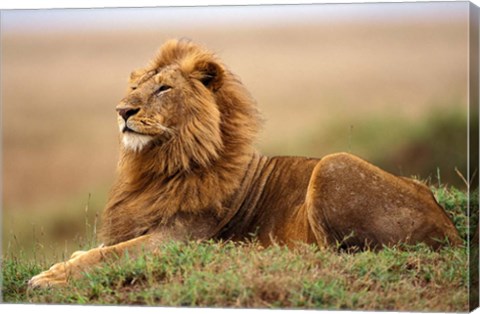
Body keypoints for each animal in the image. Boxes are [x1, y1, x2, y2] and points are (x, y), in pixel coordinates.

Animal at [29, 38, 462, 288]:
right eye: (134, 87)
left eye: (164, 88)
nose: (122, 111)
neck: (160, 164)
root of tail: (451, 230)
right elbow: (94, 250)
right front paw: (65, 263)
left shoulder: (178, 238)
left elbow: (108, 255)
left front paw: (48, 278)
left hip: (332, 165)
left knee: (333, 253)